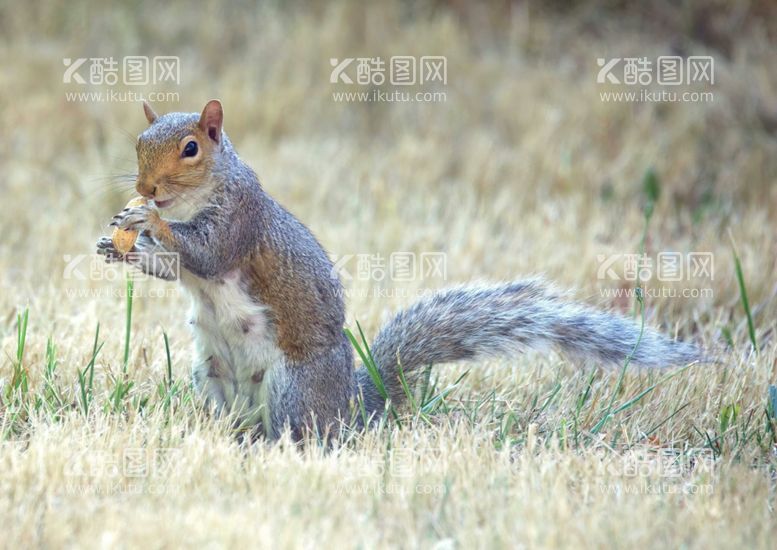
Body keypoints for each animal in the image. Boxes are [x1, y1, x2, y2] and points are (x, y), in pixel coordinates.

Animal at [97, 100, 704, 444]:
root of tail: (350, 405)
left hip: (292, 388)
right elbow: (175, 267)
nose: (146, 187)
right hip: (212, 377)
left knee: (305, 436)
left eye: (191, 148)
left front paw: (148, 220)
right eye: (139, 143)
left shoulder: (241, 222)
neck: (198, 198)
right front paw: (121, 245)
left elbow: (206, 253)